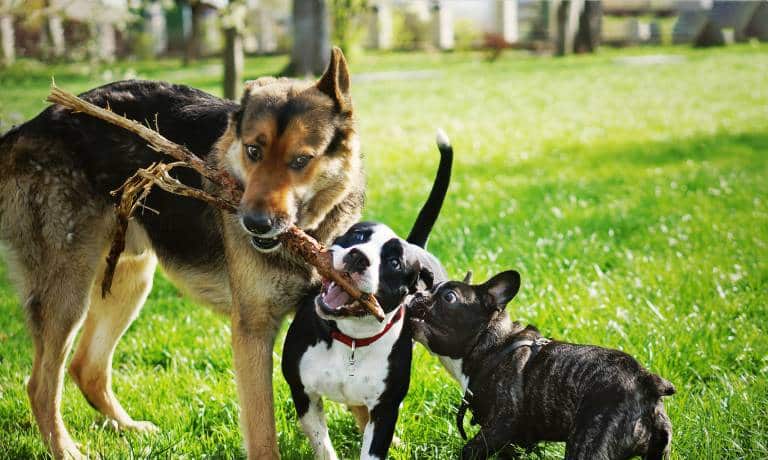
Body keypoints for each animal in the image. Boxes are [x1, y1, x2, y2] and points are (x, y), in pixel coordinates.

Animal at [0, 48, 364, 458]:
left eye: (301, 161)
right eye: (253, 151)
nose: (253, 223)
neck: (311, 235)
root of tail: (26, 128)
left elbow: (365, 406)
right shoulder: (252, 332)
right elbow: (262, 432)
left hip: (129, 280)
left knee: (86, 367)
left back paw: (128, 428)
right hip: (68, 294)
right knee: (41, 385)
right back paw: (66, 449)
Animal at [280, 131, 450, 458]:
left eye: (394, 262)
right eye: (358, 235)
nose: (358, 257)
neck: (351, 339)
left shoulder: (385, 411)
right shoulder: (304, 394)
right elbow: (322, 445)